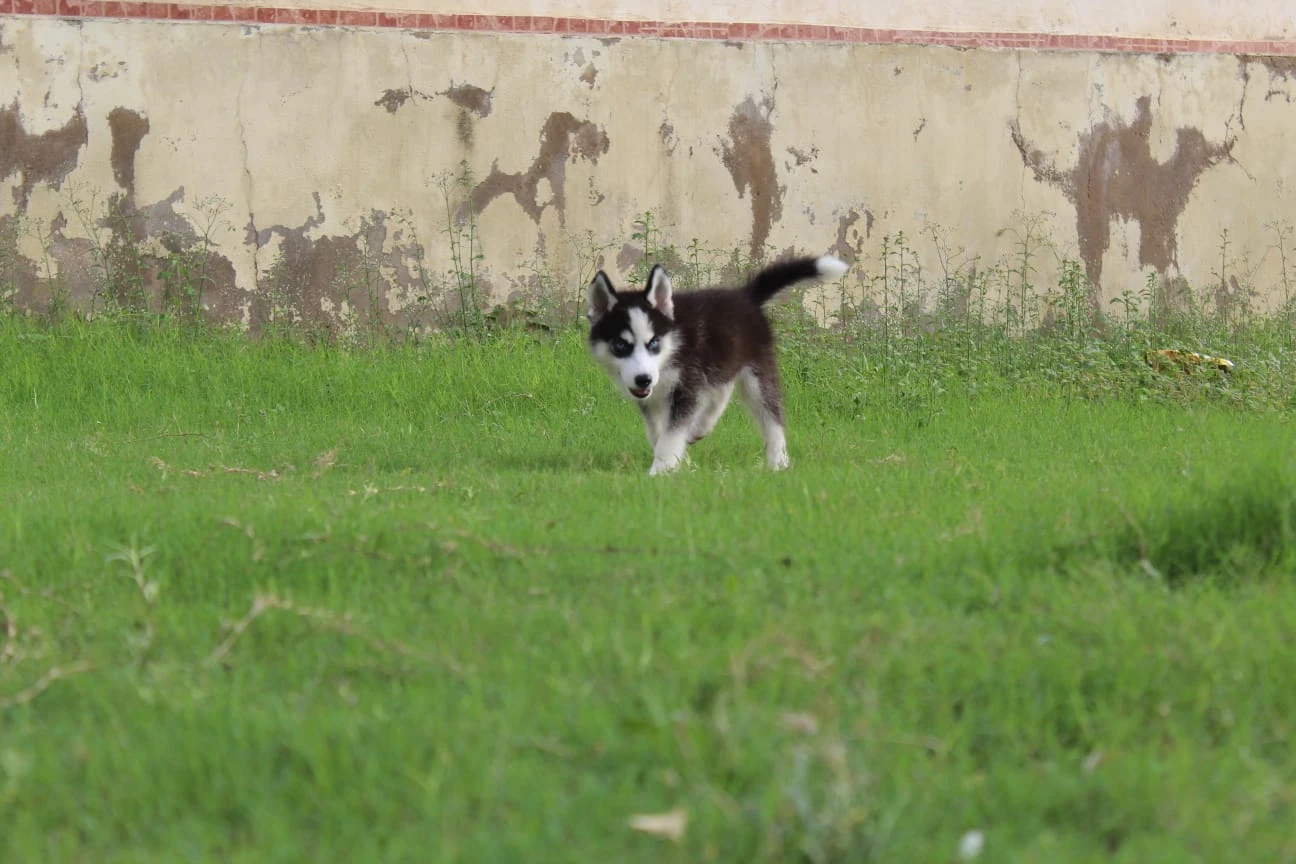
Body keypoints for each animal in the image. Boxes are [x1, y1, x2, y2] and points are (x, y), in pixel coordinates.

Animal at [588, 253, 850, 476]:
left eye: (653, 343)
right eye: (620, 345)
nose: (643, 379)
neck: (671, 350)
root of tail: (745, 296)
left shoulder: (686, 386)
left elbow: (670, 434)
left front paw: (660, 470)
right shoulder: (651, 399)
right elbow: (658, 432)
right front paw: (678, 462)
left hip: (757, 374)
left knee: (771, 415)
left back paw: (778, 461)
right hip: (721, 364)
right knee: (721, 391)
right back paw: (701, 427)